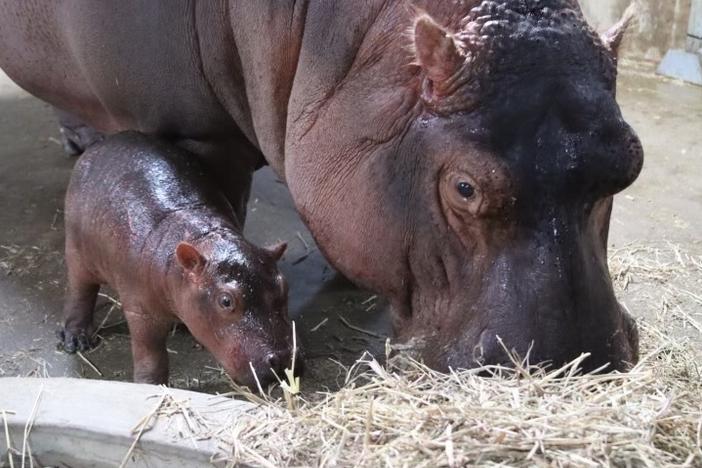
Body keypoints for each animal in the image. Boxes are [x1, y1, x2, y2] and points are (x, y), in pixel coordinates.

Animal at [58, 132, 294, 388]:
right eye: (226, 301)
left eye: (283, 285)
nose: (282, 359)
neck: (202, 237)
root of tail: (100, 145)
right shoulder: (141, 311)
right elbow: (150, 353)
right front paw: (150, 385)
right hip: (77, 251)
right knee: (80, 291)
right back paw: (76, 341)